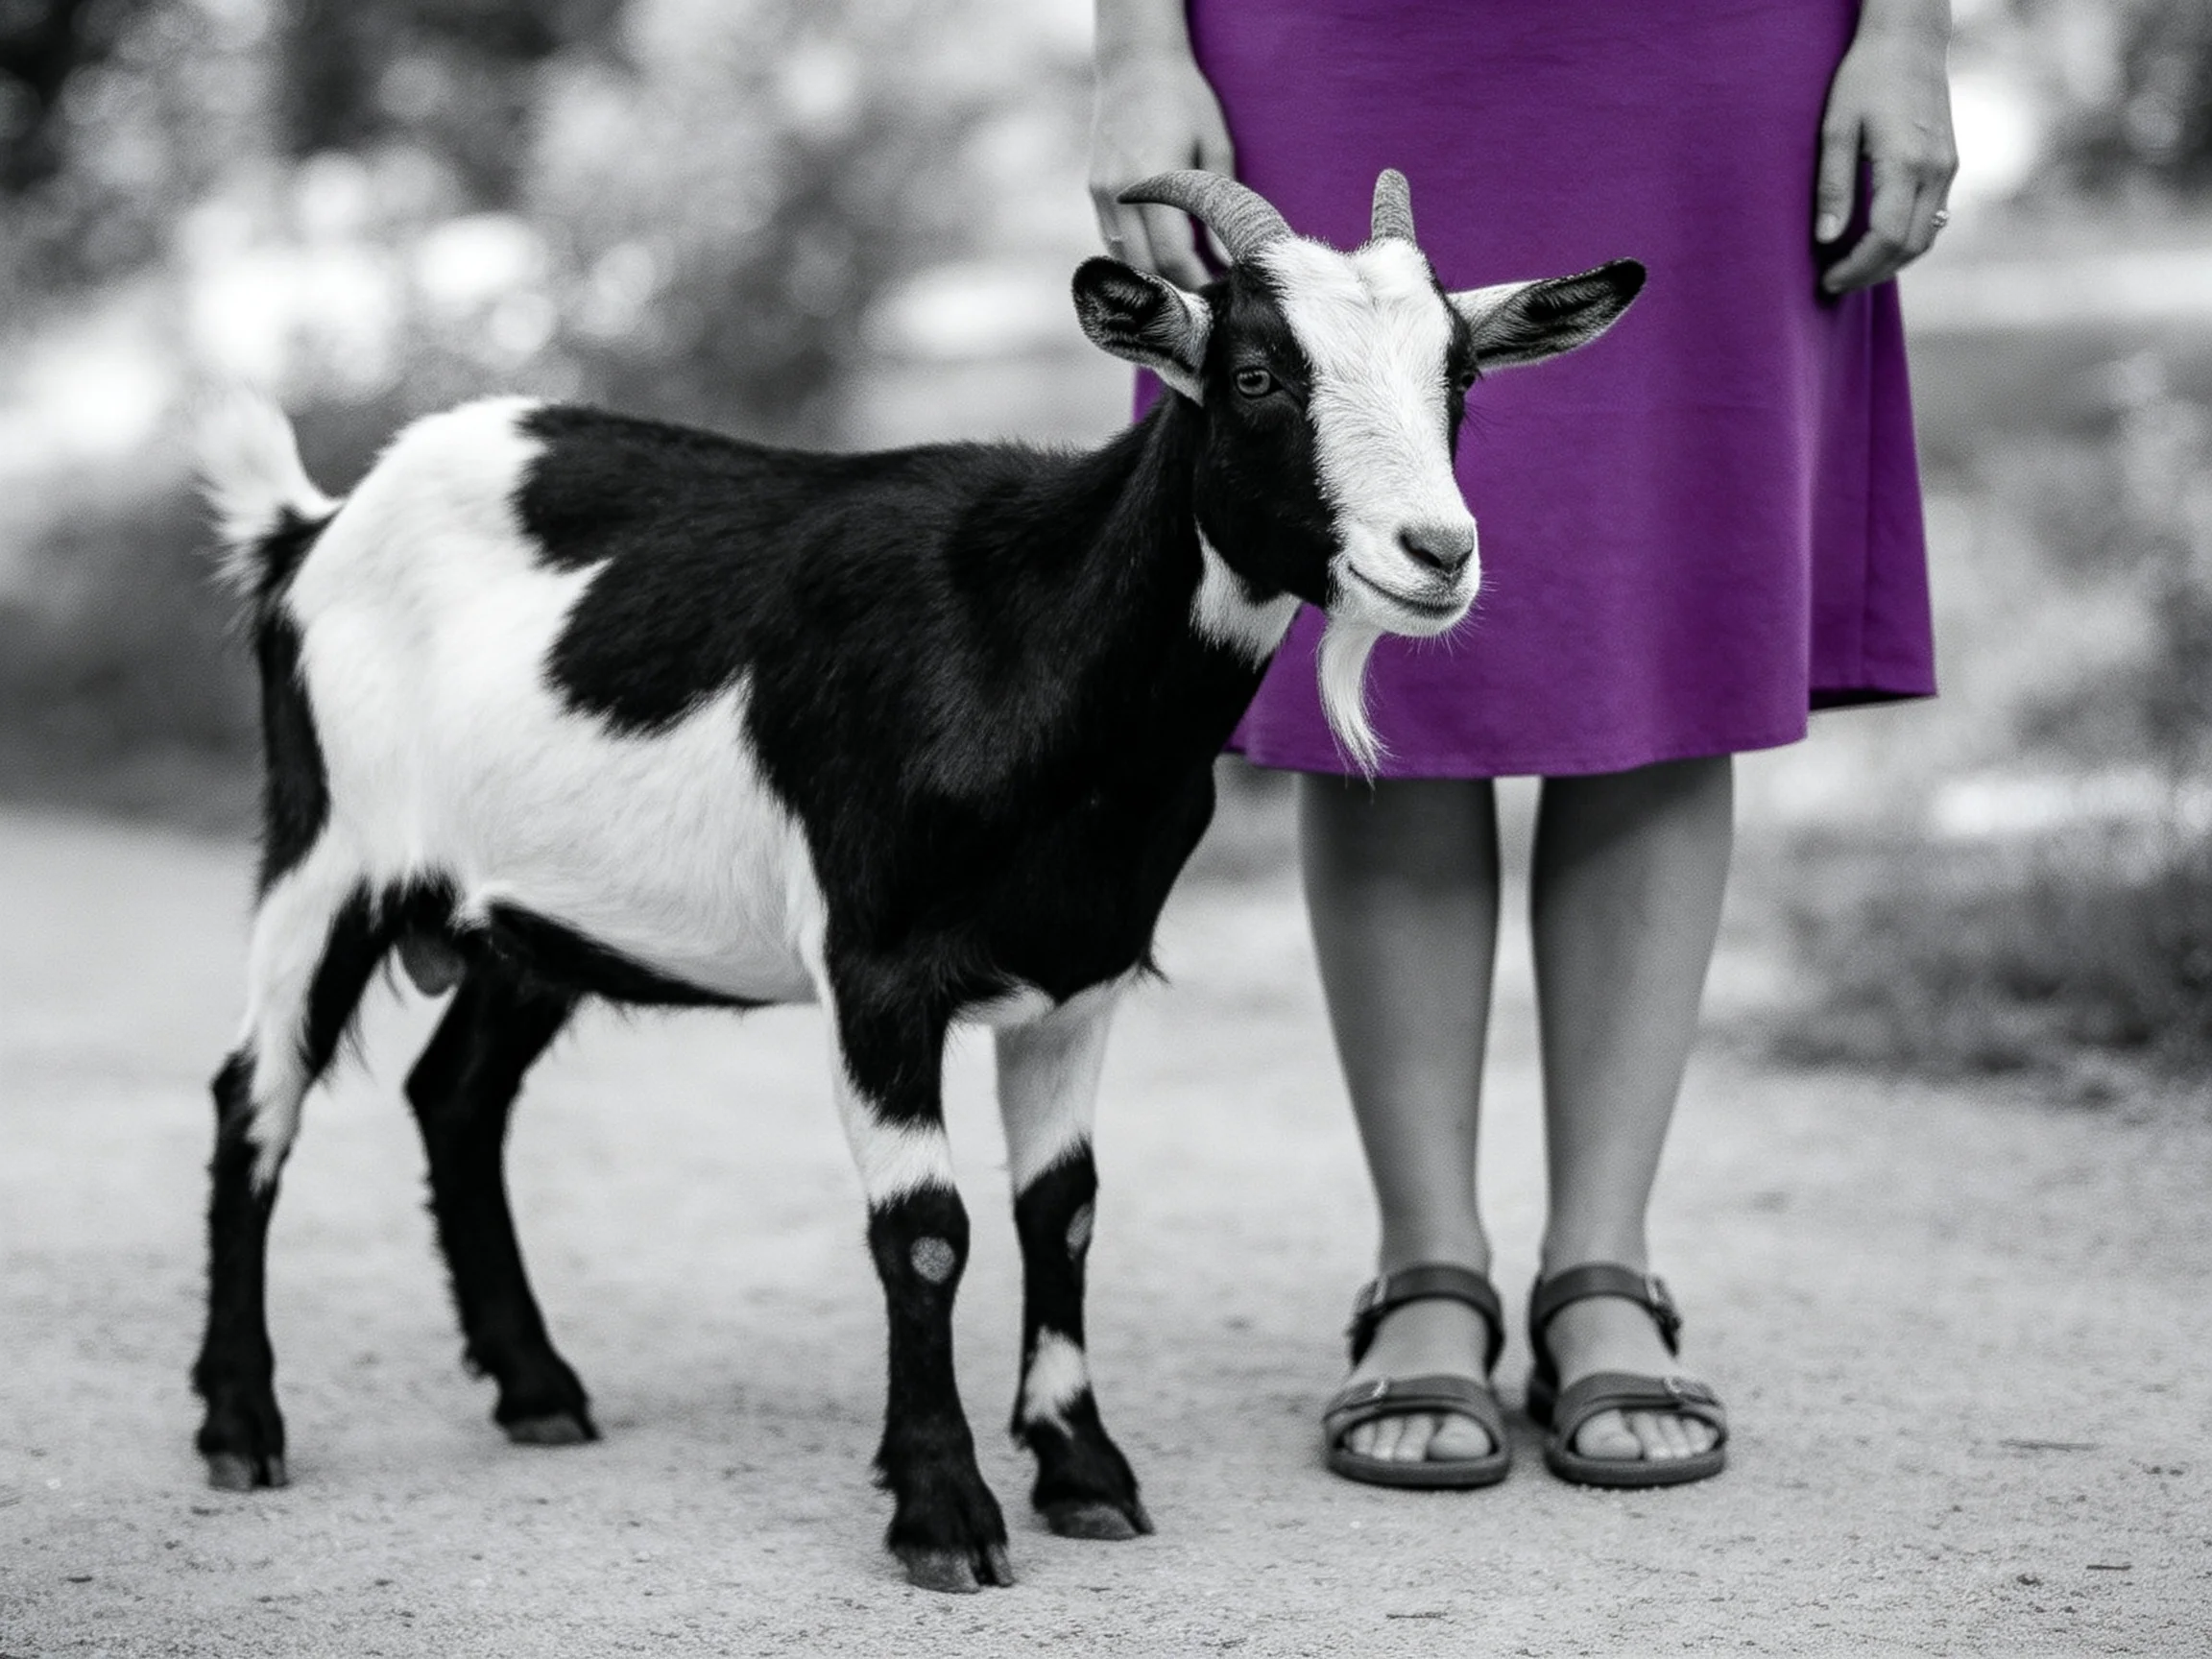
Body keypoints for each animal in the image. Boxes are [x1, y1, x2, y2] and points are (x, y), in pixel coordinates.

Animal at [190, 168, 1642, 1591]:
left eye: (1461, 376)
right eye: (1255, 374)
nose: (1436, 554)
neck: (1023, 640)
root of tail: (311, 529)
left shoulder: (1080, 973)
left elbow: (1062, 1213)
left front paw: (1081, 1469)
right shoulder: (874, 968)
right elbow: (927, 1227)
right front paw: (944, 1509)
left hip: (528, 921)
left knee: (457, 1097)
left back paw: (539, 1390)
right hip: (328, 849)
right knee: (255, 1099)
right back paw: (241, 1426)